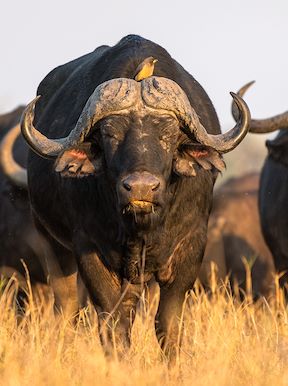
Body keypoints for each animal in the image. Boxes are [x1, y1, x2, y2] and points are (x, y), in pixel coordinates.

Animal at [19, 34, 250, 358]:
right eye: (110, 135)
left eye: (168, 136)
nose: (140, 187)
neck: (142, 228)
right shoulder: (89, 248)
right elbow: (111, 321)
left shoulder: (191, 248)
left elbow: (168, 323)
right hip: (51, 243)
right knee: (67, 306)